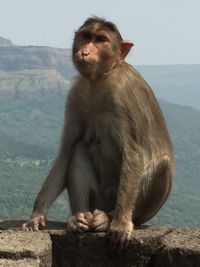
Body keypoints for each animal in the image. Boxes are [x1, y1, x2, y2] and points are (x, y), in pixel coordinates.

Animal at [22, 17, 174, 253]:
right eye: (86, 36)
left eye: (101, 40)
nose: (85, 51)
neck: (100, 78)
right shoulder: (76, 95)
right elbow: (66, 151)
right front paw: (37, 214)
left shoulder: (123, 95)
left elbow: (133, 152)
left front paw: (120, 224)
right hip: (99, 198)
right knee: (79, 147)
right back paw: (79, 218)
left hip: (123, 203)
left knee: (163, 165)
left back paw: (108, 219)